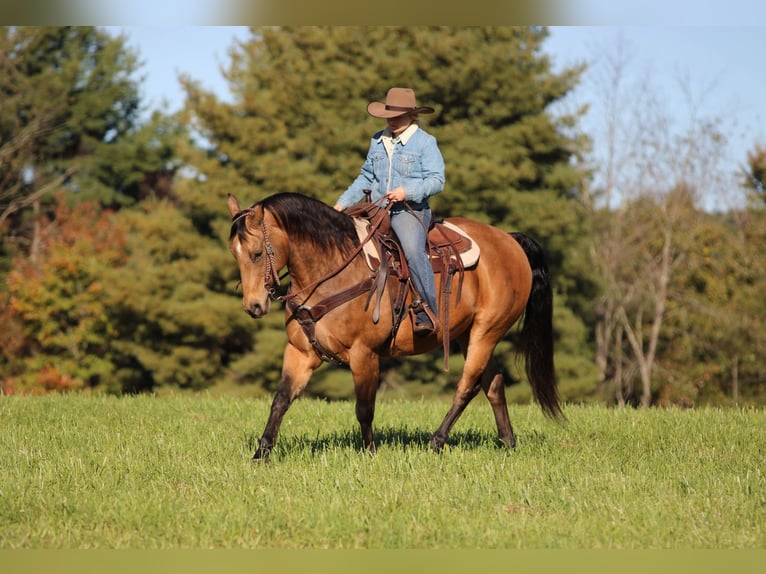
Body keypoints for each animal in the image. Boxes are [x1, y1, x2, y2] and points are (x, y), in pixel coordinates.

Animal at [227, 192, 563, 461]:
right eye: (235, 254)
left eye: (257, 253)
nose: (253, 306)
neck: (332, 271)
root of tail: (510, 240)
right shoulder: (300, 352)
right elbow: (281, 400)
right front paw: (261, 453)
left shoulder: (365, 355)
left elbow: (364, 409)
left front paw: (369, 454)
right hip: (469, 336)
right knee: (493, 384)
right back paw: (508, 442)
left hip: (486, 332)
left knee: (468, 386)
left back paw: (436, 442)